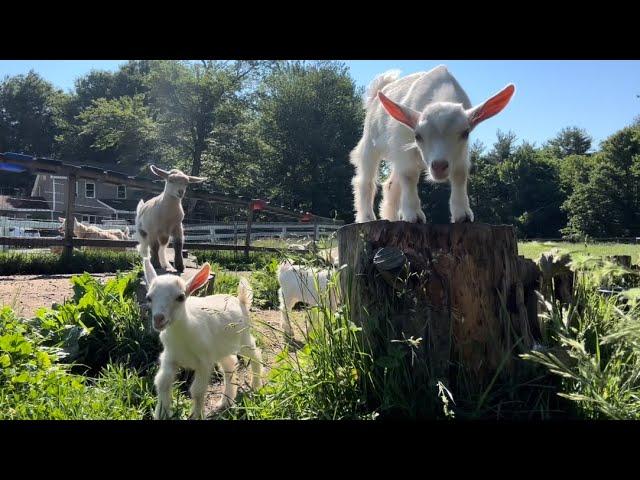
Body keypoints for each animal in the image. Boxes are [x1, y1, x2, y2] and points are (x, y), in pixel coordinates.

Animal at [144, 258, 264, 420]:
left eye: (181, 297)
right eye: (149, 298)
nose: (158, 319)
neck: (183, 336)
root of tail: (241, 300)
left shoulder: (204, 362)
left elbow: (197, 390)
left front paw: (197, 415)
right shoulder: (170, 357)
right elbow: (162, 382)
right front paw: (161, 413)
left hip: (243, 337)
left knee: (255, 354)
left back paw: (256, 386)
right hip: (221, 347)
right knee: (229, 364)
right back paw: (226, 401)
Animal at [350, 64, 516, 224]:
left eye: (465, 133)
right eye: (417, 136)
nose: (439, 166)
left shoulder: (462, 153)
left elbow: (460, 174)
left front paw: (462, 214)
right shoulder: (403, 145)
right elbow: (409, 175)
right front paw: (414, 215)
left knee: (391, 184)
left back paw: (391, 218)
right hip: (370, 142)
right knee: (365, 179)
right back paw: (366, 217)